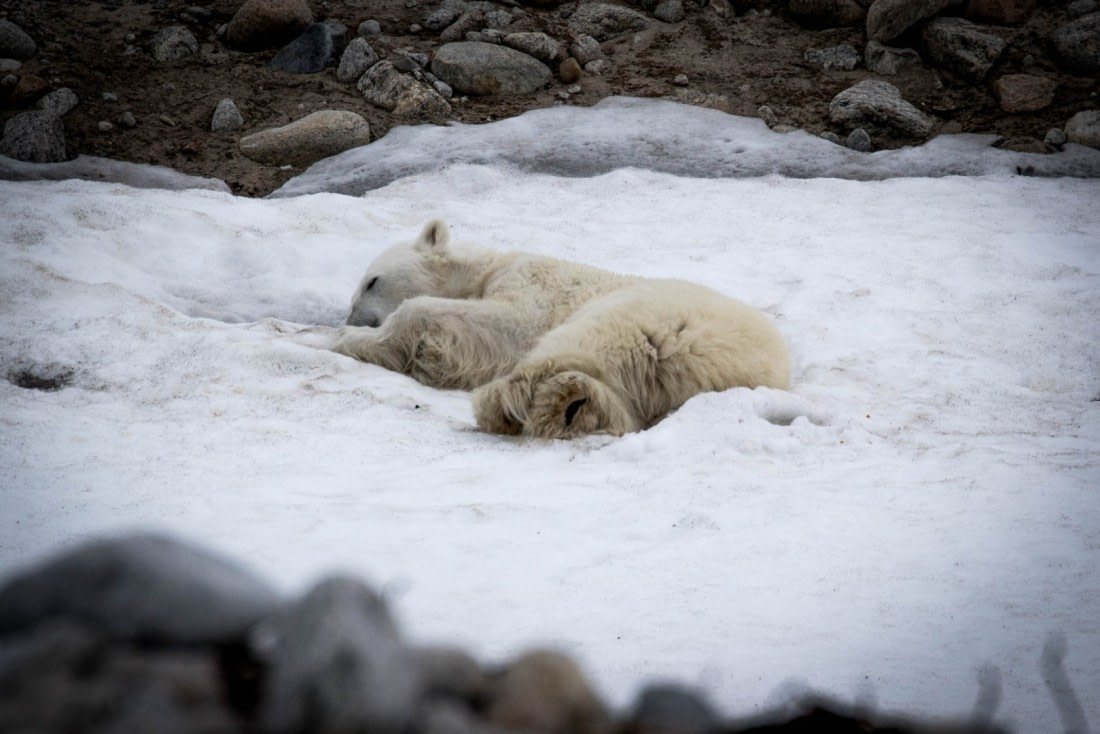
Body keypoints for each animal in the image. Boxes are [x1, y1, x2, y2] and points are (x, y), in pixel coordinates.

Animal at [333, 220, 790, 438]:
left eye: (372, 281)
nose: (351, 319)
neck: (485, 269)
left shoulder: (532, 284)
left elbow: (510, 325)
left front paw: (352, 340)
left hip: (648, 312)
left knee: (578, 346)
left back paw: (511, 403)